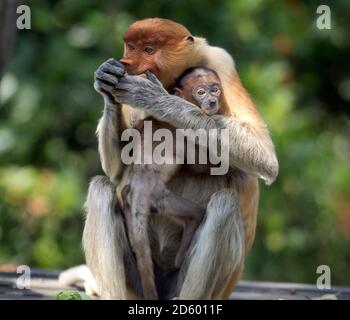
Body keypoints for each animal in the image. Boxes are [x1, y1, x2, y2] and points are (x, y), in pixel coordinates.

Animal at [117, 67, 221, 300]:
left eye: (215, 90)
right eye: (201, 92)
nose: (212, 101)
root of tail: (137, 191)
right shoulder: (184, 132)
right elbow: (200, 165)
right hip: (160, 197)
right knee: (195, 214)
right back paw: (181, 256)